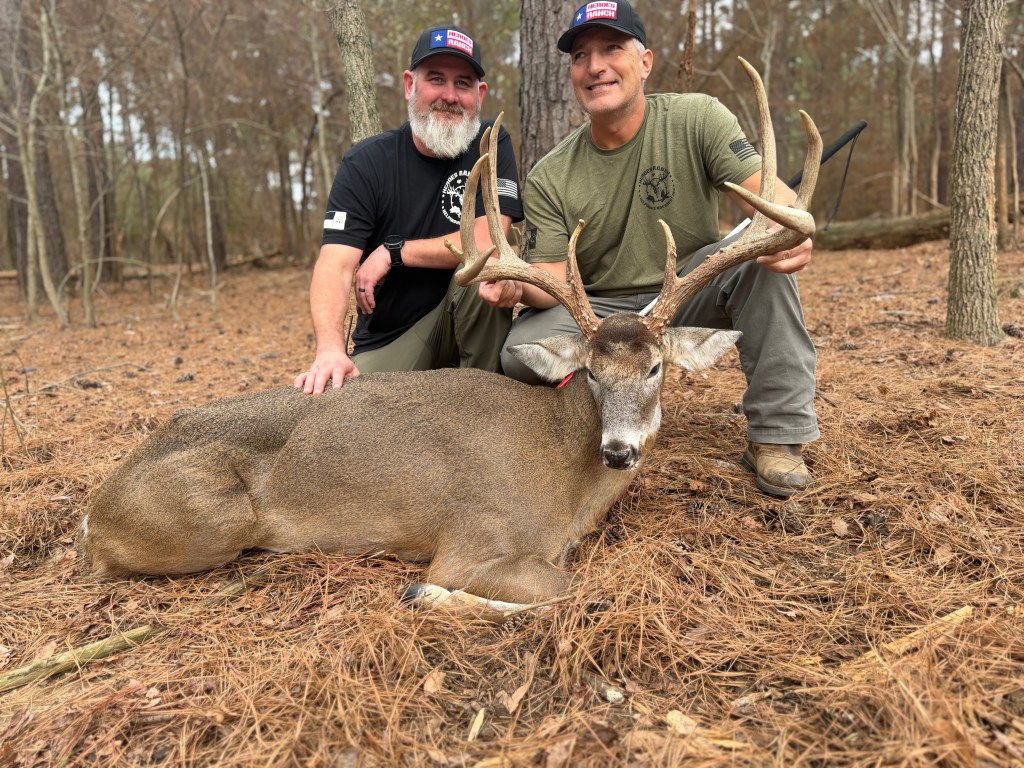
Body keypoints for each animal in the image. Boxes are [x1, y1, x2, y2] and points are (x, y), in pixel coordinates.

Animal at [80, 60, 821, 617]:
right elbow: (563, 589)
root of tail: (98, 505)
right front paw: (423, 593)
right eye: (590, 372)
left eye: (655, 370)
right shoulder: (473, 537)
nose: (618, 450)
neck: (569, 485)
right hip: (212, 521)